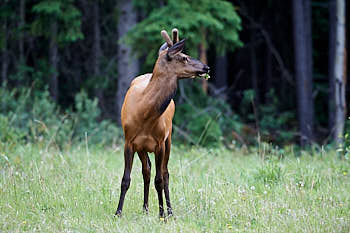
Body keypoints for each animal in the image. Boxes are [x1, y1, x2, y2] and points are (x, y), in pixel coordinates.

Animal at [115, 28, 209, 217]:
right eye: (184, 57)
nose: (206, 67)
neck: (144, 113)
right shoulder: (129, 141)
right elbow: (125, 179)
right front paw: (118, 212)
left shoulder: (159, 142)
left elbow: (159, 179)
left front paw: (162, 214)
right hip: (142, 147)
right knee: (147, 170)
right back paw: (145, 208)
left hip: (169, 139)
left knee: (165, 174)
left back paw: (169, 211)